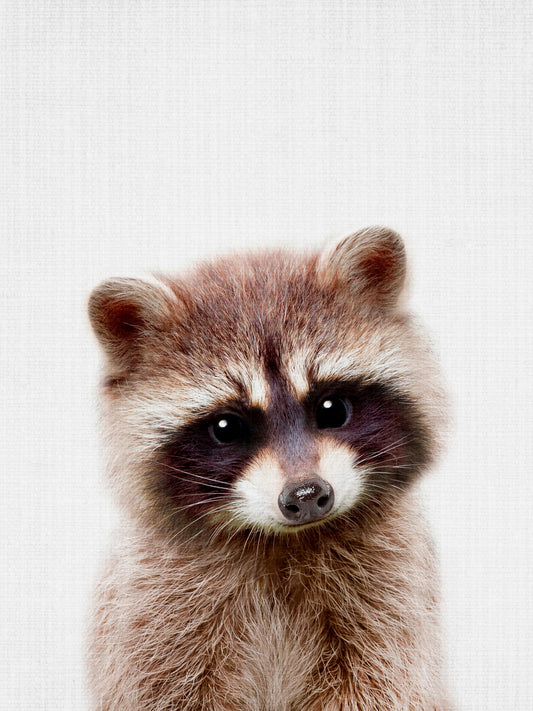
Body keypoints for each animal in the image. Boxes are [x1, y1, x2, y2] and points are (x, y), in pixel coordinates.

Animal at [87, 227, 450, 710]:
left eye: (332, 408)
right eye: (227, 427)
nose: (306, 495)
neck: (283, 542)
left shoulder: (391, 596)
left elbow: (382, 682)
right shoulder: (153, 611)